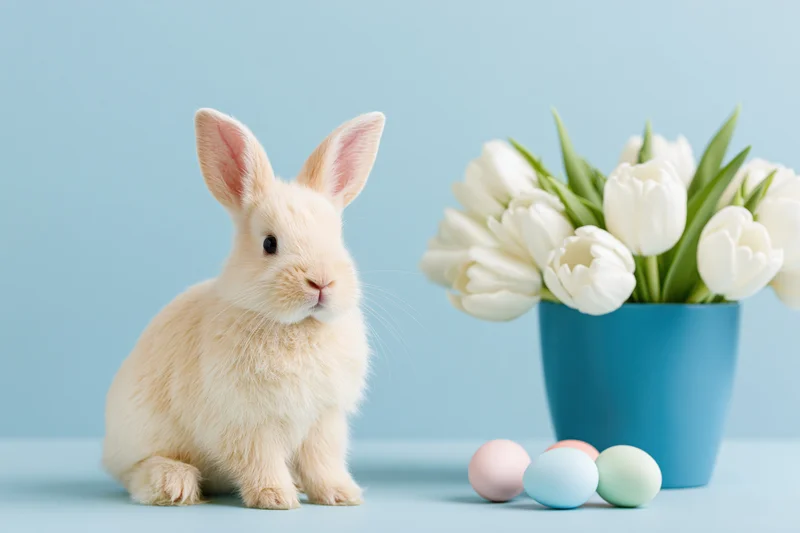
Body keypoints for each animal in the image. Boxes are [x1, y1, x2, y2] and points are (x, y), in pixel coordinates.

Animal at [102, 108, 385, 510]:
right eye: (269, 244)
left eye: (338, 239)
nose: (321, 283)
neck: (296, 326)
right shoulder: (246, 422)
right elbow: (260, 460)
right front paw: (275, 498)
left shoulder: (323, 420)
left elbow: (322, 461)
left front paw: (340, 495)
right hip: (141, 436)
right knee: (137, 471)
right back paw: (174, 485)